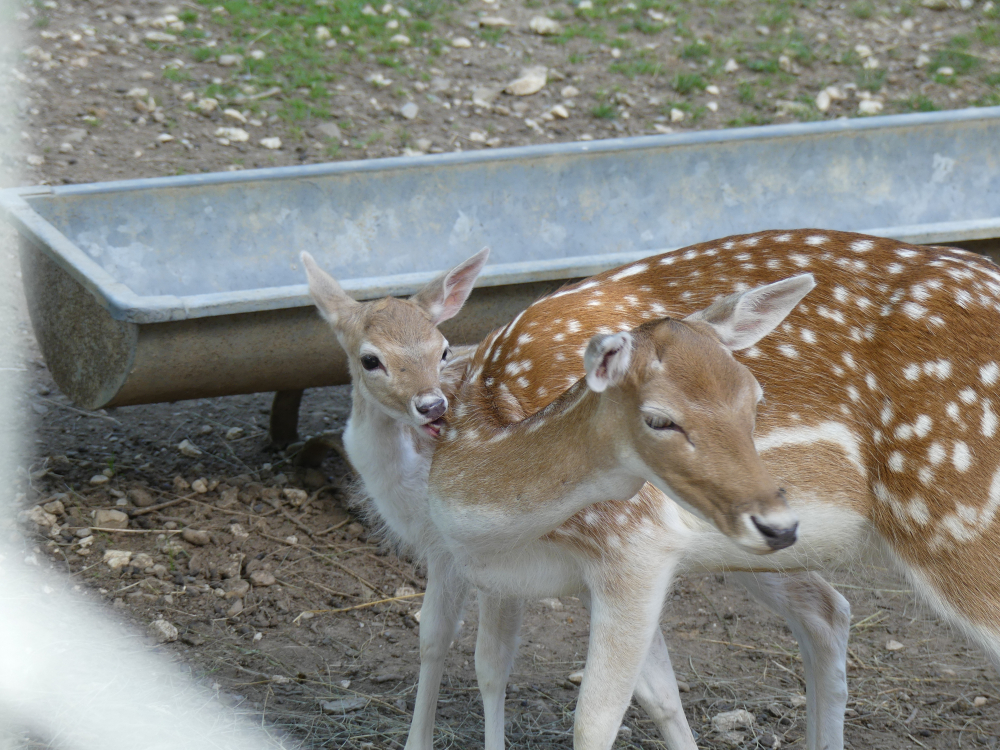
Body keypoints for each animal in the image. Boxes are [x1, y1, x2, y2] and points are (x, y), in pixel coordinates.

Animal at [304, 250, 836, 748]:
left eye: (443, 349)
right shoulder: (452, 553)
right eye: (370, 359)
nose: (433, 405)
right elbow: (434, 637)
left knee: (822, 602)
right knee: (827, 603)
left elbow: (485, 661)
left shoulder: (497, 557)